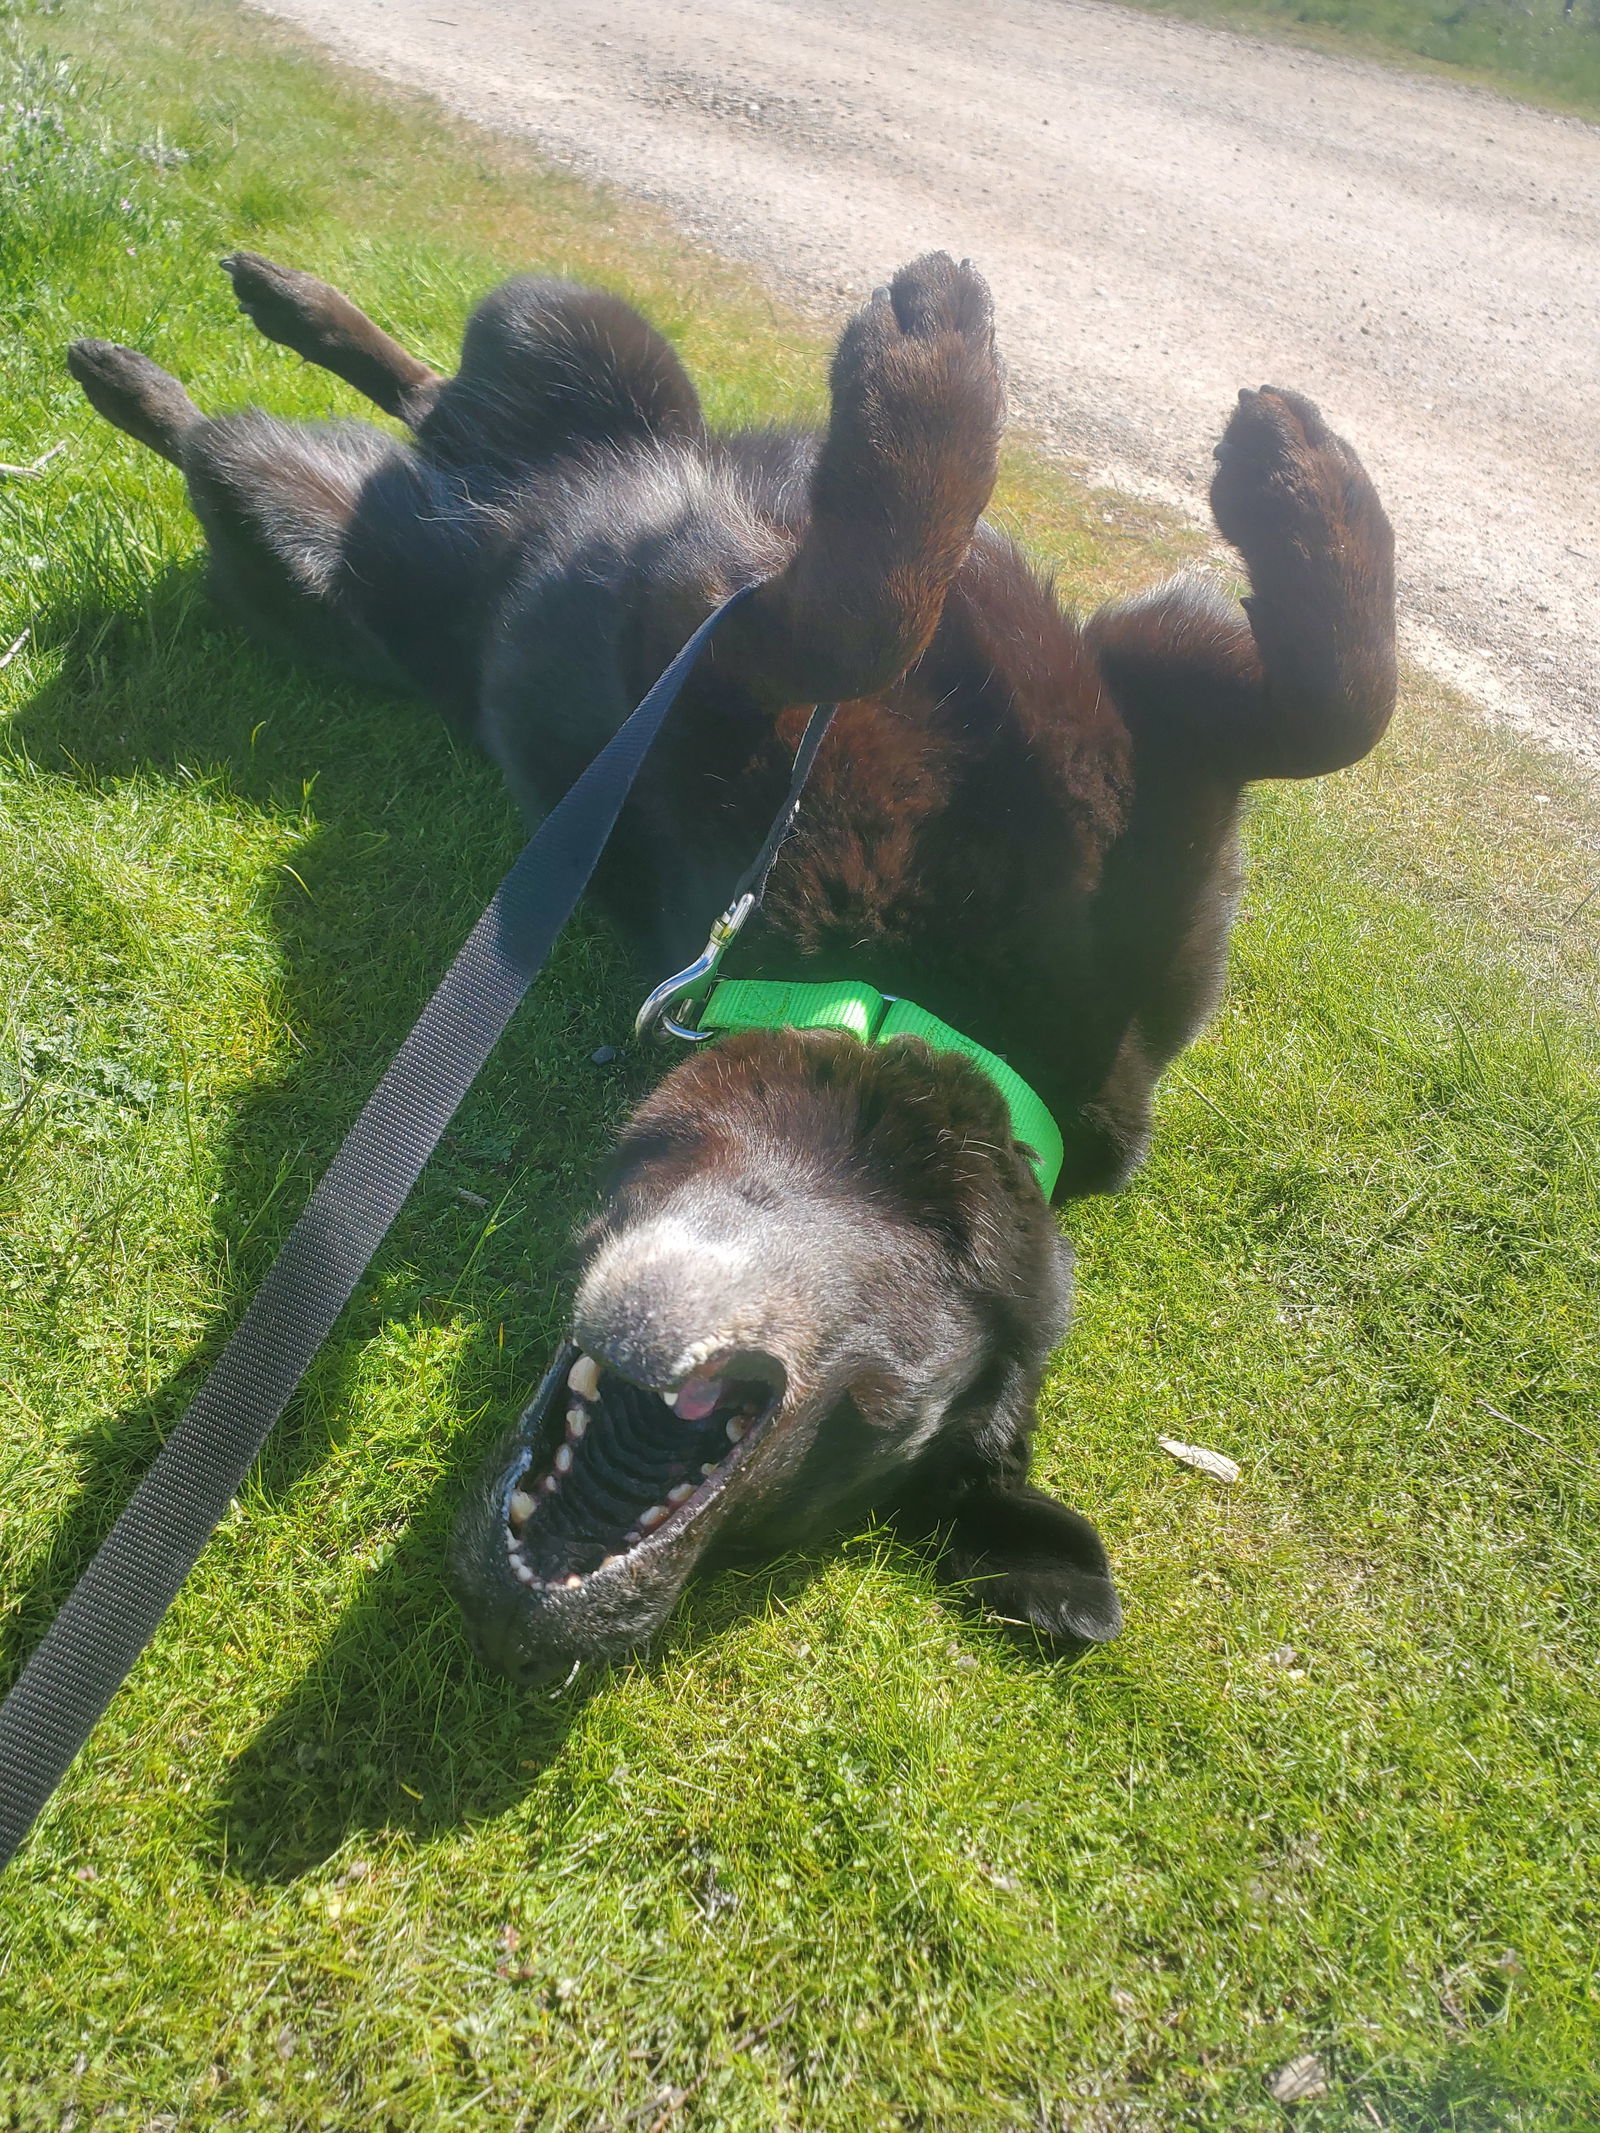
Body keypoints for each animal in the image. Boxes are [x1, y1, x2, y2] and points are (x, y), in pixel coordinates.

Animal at [65, 249, 1390, 1680]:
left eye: (862, 1437)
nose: (557, 1628)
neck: (900, 994)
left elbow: (873, 620)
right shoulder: (1143, 694)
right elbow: (1327, 705)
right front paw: (1255, 455)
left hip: (309, 537)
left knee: (261, 440)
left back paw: (156, 379)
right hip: (587, 345)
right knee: (455, 384)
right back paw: (245, 315)